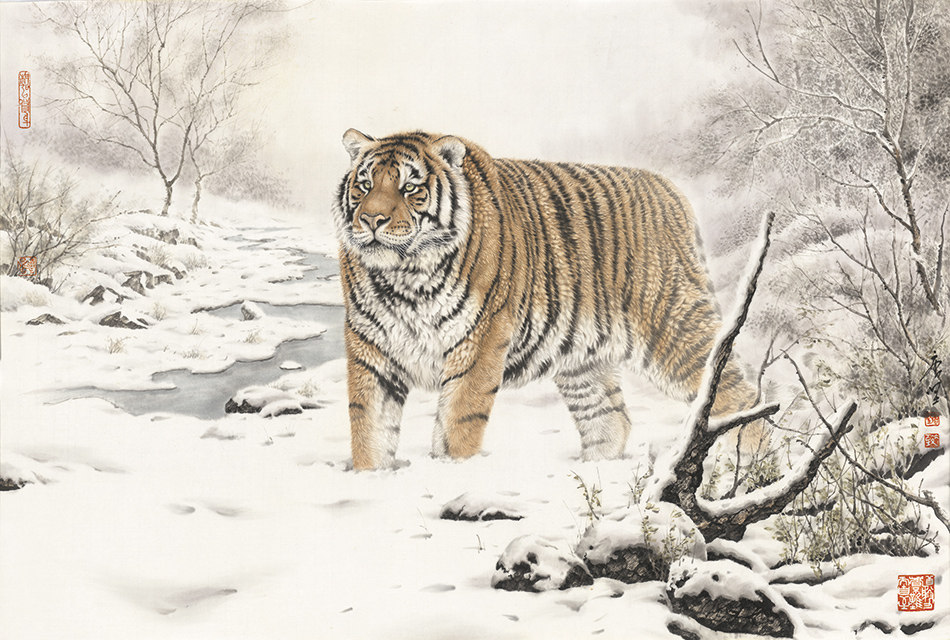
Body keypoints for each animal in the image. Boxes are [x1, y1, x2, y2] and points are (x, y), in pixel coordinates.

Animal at [333, 129, 759, 470]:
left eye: (410, 188)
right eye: (365, 185)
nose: (372, 220)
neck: (403, 277)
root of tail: (670, 191)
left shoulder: (479, 342)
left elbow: (458, 421)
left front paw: (451, 472)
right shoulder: (371, 347)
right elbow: (368, 426)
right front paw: (371, 476)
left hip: (675, 329)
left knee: (740, 396)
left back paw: (747, 466)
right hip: (583, 361)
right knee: (611, 420)